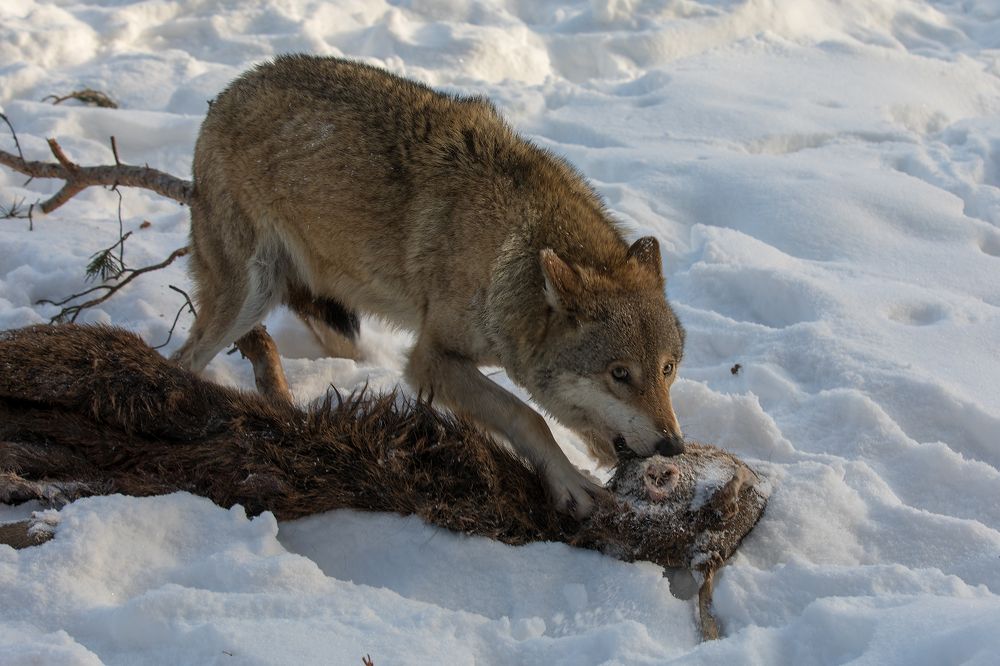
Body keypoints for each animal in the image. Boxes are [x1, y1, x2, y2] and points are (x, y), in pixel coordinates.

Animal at [172, 55, 686, 518]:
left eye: (667, 369)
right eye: (619, 374)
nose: (674, 446)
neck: (509, 252)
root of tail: (229, 91)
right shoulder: (430, 360)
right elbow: (528, 416)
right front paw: (569, 482)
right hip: (249, 296)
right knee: (187, 357)